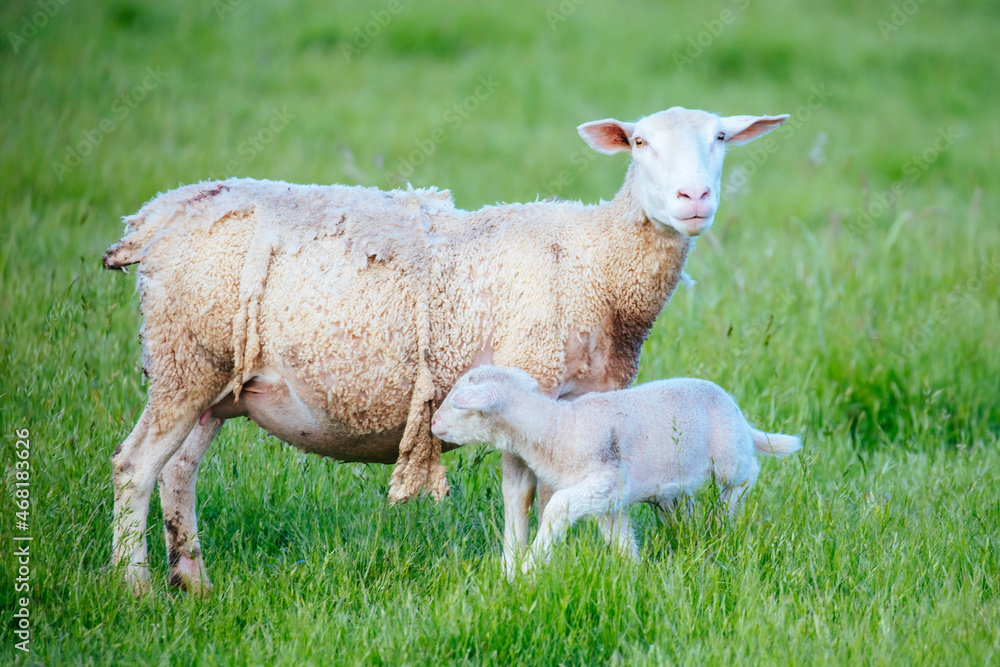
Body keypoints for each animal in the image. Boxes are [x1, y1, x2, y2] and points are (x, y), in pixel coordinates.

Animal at [431, 365, 802, 574]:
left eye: (458, 403)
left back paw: (723, 513)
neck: (557, 428)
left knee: (747, 474)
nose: (432, 422)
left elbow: (557, 507)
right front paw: (635, 574)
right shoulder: (606, 500)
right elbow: (619, 539)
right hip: (677, 485)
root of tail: (738, 413)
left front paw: (530, 565)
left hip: (729, 457)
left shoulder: (606, 481)